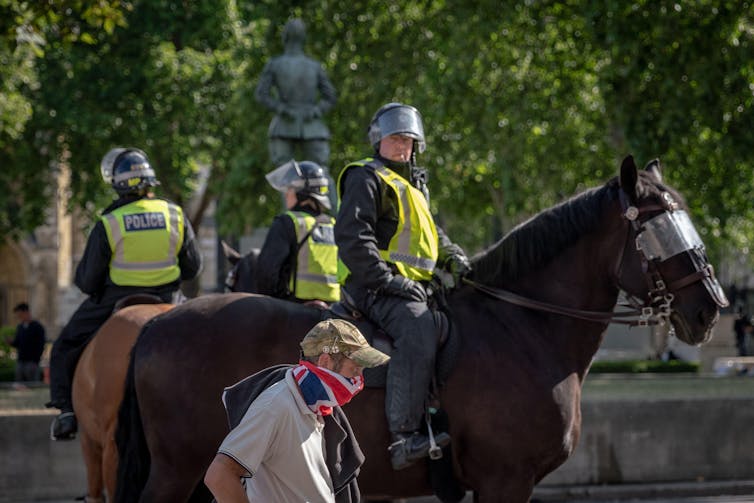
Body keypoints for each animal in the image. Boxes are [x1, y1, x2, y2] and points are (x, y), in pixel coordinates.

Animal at [114, 156, 724, 502]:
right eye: (657, 228)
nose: (710, 309)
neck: (523, 331)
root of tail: (157, 324)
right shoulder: (506, 479)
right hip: (180, 468)